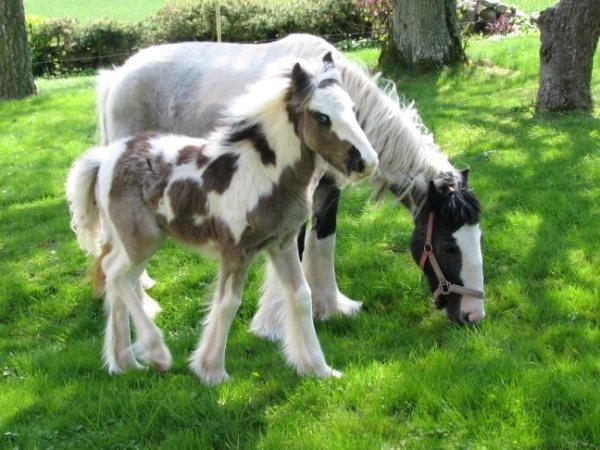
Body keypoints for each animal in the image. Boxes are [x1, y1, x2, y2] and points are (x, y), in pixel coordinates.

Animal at [68, 54, 378, 384]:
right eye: (321, 117)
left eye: (353, 109)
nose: (367, 162)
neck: (262, 174)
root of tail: (104, 159)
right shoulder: (236, 250)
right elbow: (229, 303)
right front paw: (211, 370)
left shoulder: (281, 244)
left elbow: (301, 296)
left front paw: (318, 368)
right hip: (142, 239)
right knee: (117, 275)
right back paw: (156, 352)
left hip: (129, 239)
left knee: (113, 275)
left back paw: (123, 361)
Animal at [96, 33, 486, 328]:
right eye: (448, 245)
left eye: (478, 238)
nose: (473, 315)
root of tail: (118, 75)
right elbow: (294, 248)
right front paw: (276, 323)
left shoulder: (330, 187)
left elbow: (324, 241)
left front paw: (331, 307)